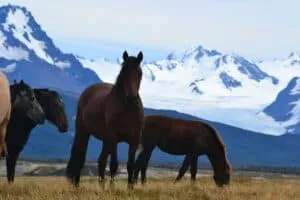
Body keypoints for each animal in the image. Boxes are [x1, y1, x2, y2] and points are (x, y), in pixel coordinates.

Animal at [66, 50, 145, 188]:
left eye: (139, 73)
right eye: (123, 72)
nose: (131, 97)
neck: (127, 110)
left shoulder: (134, 141)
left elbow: (130, 165)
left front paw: (130, 188)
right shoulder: (114, 138)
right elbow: (114, 164)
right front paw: (112, 188)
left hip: (105, 140)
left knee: (101, 161)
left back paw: (101, 187)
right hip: (84, 133)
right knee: (80, 157)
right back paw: (77, 186)